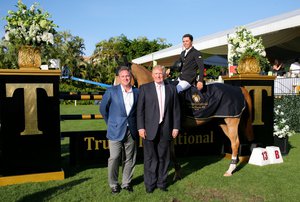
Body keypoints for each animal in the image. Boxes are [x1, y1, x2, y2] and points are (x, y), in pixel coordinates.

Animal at [114, 63, 253, 177]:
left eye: (124, 76)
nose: (118, 90)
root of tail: (238, 89)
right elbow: (171, 150)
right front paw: (176, 170)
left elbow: (171, 151)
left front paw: (177, 171)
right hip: (223, 122)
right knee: (233, 141)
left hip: (232, 122)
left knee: (235, 142)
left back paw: (230, 170)